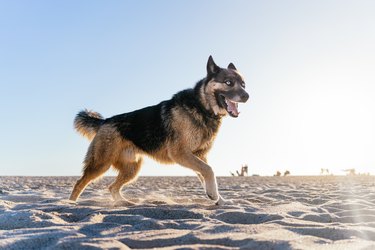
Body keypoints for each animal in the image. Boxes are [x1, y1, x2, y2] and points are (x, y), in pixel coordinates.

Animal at [70, 56, 250, 205]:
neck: (202, 106)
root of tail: (105, 121)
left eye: (243, 84)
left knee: (112, 187)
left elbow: (206, 173)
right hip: (100, 164)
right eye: (228, 82)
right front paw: (213, 195)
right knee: (80, 183)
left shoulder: (199, 155)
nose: (247, 96)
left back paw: (124, 202)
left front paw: (219, 199)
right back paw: (71, 203)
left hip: (132, 169)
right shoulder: (181, 153)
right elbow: (209, 170)